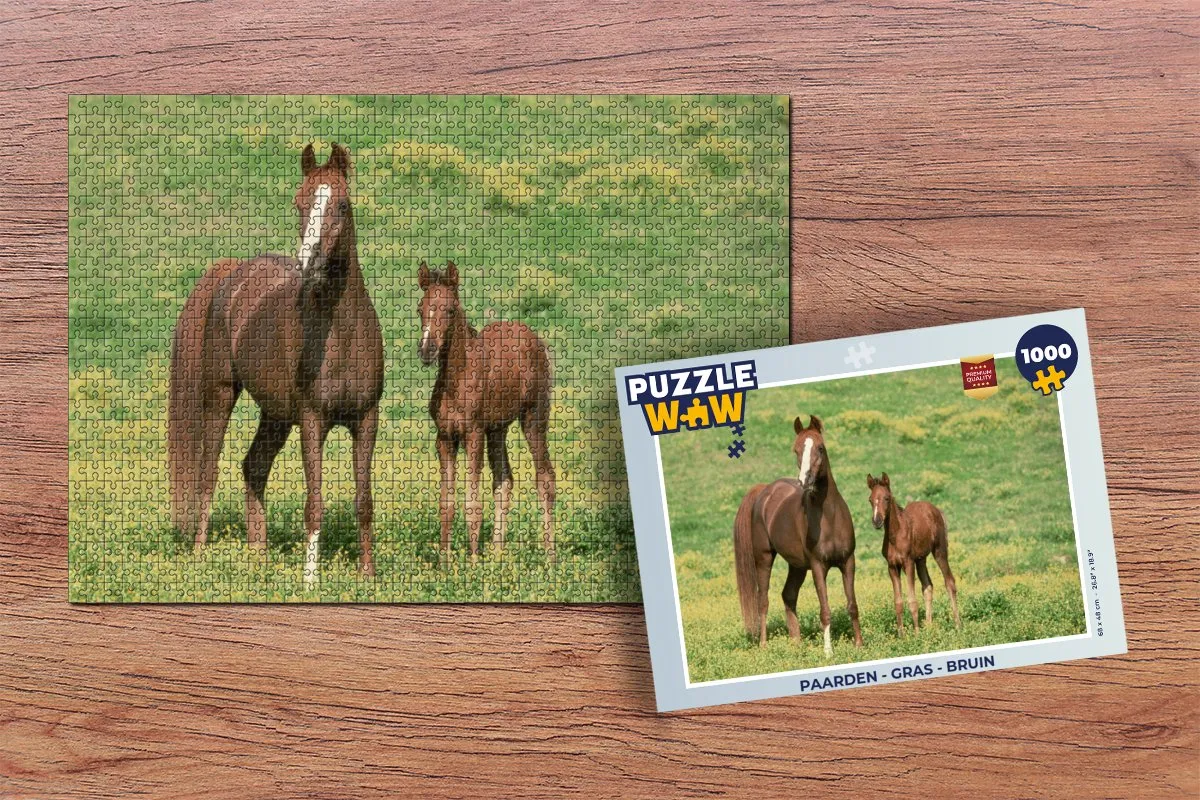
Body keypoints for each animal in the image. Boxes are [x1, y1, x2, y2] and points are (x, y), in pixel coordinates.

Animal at [168, 143, 385, 586]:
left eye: (342, 204)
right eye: (299, 203)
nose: (308, 264)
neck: (342, 333)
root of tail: (232, 272)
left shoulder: (366, 419)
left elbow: (363, 500)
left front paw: (368, 575)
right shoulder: (314, 420)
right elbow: (314, 502)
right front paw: (310, 580)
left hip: (276, 414)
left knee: (254, 467)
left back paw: (259, 558)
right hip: (220, 396)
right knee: (207, 474)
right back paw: (199, 555)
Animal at [417, 261, 555, 564]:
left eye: (450, 309)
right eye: (420, 308)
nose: (427, 350)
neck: (457, 379)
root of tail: (533, 337)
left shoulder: (473, 434)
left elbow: (472, 504)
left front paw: (472, 563)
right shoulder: (444, 438)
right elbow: (447, 504)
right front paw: (445, 563)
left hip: (534, 418)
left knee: (545, 478)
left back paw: (550, 557)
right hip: (498, 428)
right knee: (504, 481)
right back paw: (497, 554)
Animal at [733, 415, 863, 655]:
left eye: (820, 448)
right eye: (796, 450)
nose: (805, 481)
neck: (829, 517)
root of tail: (765, 490)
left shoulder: (848, 561)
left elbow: (852, 605)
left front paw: (859, 645)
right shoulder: (819, 566)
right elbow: (825, 610)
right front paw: (828, 652)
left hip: (797, 565)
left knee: (788, 595)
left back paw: (796, 643)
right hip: (764, 559)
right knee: (763, 600)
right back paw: (764, 645)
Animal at [867, 472, 962, 634]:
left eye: (887, 498)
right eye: (870, 499)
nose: (877, 521)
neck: (895, 536)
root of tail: (936, 510)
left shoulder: (908, 563)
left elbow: (912, 600)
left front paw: (916, 634)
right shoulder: (892, 567)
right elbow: (898, 602)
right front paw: (901, 635)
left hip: (939, 551)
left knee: (949, 582)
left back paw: (958, 625)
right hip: (921, 559)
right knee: (927, 586)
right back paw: (929, 627)